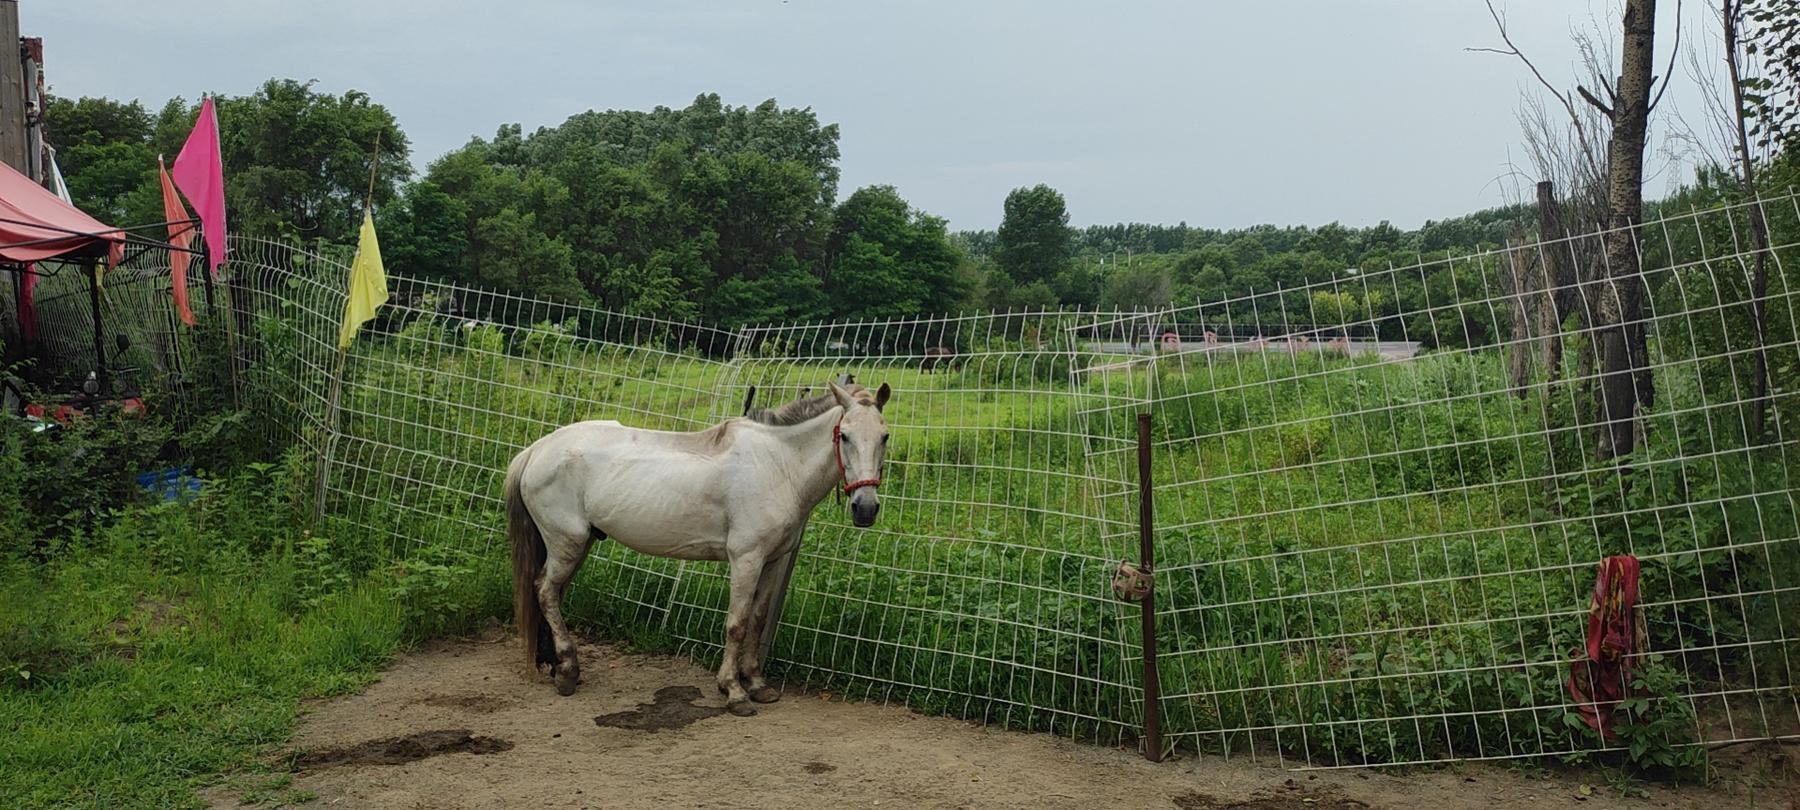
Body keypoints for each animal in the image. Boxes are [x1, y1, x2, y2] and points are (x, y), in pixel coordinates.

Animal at [511, 376, 889, 712]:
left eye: (885, 436)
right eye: (844, 435)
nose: (865, 508)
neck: (778, 465)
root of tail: (536, 450)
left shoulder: (774, 560)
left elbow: (758, 619)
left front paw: (757, 684)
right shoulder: (746, 558)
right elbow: (737, 624)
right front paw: (734, 691)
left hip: (577, 545)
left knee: (552, 594)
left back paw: (557, 665)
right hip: (567, 544)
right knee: (545, 591)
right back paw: (567, 671)